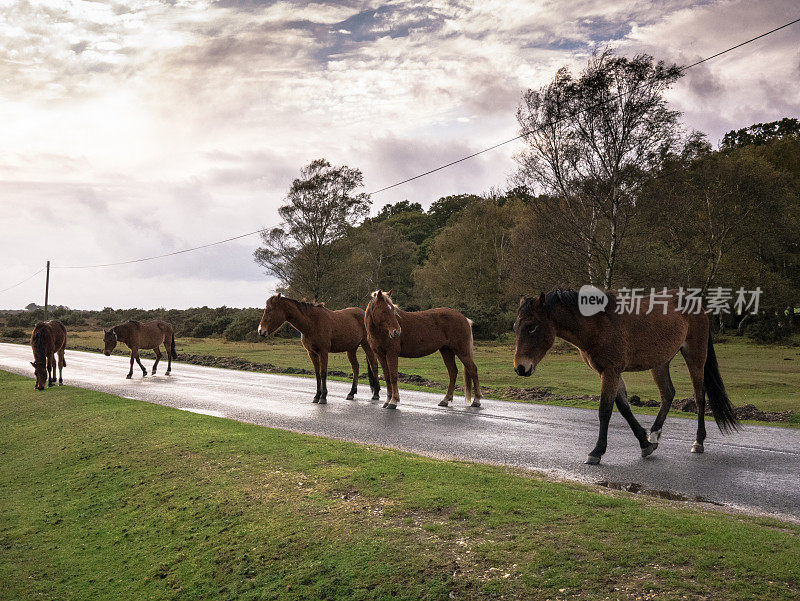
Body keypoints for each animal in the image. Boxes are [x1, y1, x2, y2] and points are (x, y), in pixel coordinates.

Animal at [512, 290, 736, 464]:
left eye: (532, 326)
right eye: (516, 327)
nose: (520, 368)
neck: (597, 323)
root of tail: (696, 304)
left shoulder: (611, 371)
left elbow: (605, 410)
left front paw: (596, 452)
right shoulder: (608, 372)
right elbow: (624, 408)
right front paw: (645, 443)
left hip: (695, 356)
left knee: (699, 397)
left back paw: (698, 442)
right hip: (660, 363)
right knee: (668, 394)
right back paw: (654, 435)